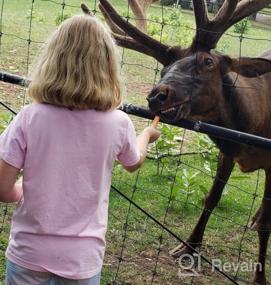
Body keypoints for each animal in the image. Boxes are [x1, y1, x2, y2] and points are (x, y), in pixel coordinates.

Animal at [96, 1, 271, 282]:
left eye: (208, 61)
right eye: (165, 67)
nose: (157, 95)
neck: (253, 128)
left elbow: (267, 224)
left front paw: (259, 278)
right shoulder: (227, 152)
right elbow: (211, 198)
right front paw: (189, 246)